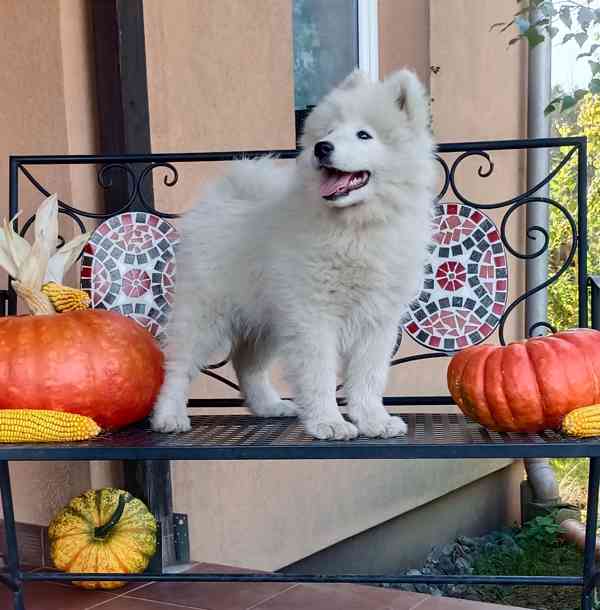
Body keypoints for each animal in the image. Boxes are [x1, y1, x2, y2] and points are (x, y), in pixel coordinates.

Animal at [151, 69, 436, 440]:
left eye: (364, 135)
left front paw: (374, 420)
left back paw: (269, 405)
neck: (357, 228)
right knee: (178, 365)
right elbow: (320, 375)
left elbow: (369, 377)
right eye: (328, 132)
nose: (322, 148)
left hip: (268, 319)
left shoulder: (377, 320)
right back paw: (169, 415)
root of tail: (224, 198)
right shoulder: (312, 315)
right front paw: (329, 422)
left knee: (246, 363)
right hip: (205, 312)